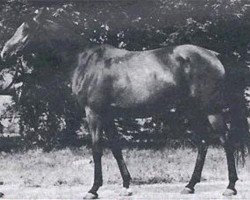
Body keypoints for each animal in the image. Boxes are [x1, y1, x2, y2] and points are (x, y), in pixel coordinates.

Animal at [0, 13, 249, 199]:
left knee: (226, 142)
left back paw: (230, 187)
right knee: (203, 144)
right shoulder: (108, 115)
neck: (84, 61)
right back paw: (189, 186)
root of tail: (214, 54)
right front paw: (127, 186)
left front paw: (93, 189)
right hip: (194, 111)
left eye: (25, 30)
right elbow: (116, 147)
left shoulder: (94, 113)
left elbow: (97, 148)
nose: (5, 52)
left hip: (212, 111)